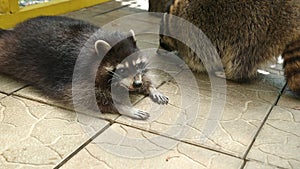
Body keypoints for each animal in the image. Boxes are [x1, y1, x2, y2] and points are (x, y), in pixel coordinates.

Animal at [0, 15, 169, 119]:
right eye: (121, 70)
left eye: (138, 64)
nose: (137, 84)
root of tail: (18, 28)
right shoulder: (76, 74)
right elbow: (82, 96)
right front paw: (123, 107)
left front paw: (151, 87)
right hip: (12, 50)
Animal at [155, 0, 300, 95]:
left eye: (161, 39)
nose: (157, 51)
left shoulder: (195, 30)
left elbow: (199, 56)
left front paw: (189, 64)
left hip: (259, 26)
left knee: (242, 55)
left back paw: (231, 74)